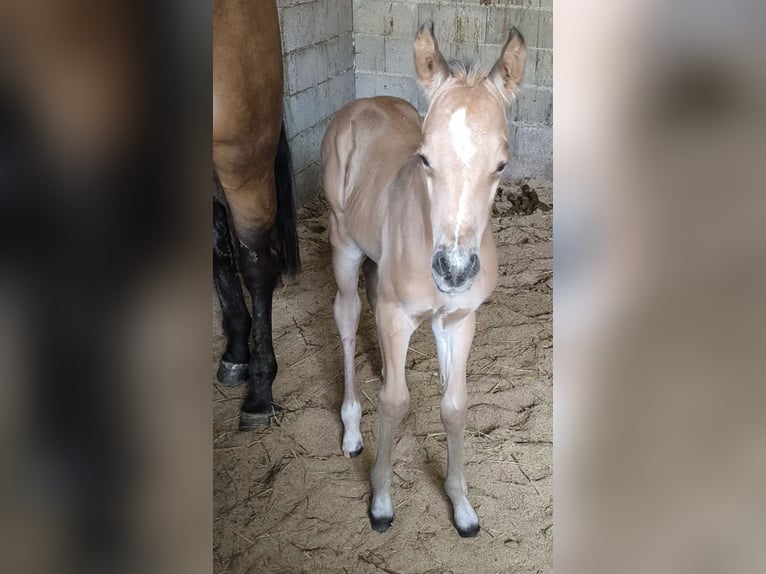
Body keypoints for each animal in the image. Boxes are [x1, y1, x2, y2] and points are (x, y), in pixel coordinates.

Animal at [321, 22, 526, 536]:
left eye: (501, 164)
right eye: (425, 158)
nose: (454, 270)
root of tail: (360, 103)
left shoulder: (457, 320)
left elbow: (454, 407)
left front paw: (462, 507)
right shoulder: (398, 314)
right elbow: (395, 403)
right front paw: (380, 502)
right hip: (343, 244)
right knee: (348, 316)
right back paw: (351, 428)